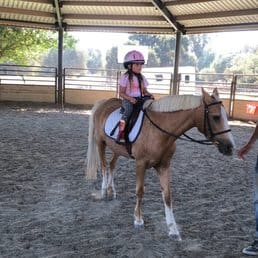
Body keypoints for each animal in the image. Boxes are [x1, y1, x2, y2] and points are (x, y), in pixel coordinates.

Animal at [85, 88, 235, 240]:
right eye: (216, 117)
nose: (230, 147)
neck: (158, 130)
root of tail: (104, 103)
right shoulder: (140, 163)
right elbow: (140, 191)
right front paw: (138, 220)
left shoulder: (164, 166)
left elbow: (167, 196)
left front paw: (173, 229)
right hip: (100, 143)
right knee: (104, 166)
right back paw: (104, 191)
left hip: (117, 149)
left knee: (111, 166)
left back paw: (112, 191)